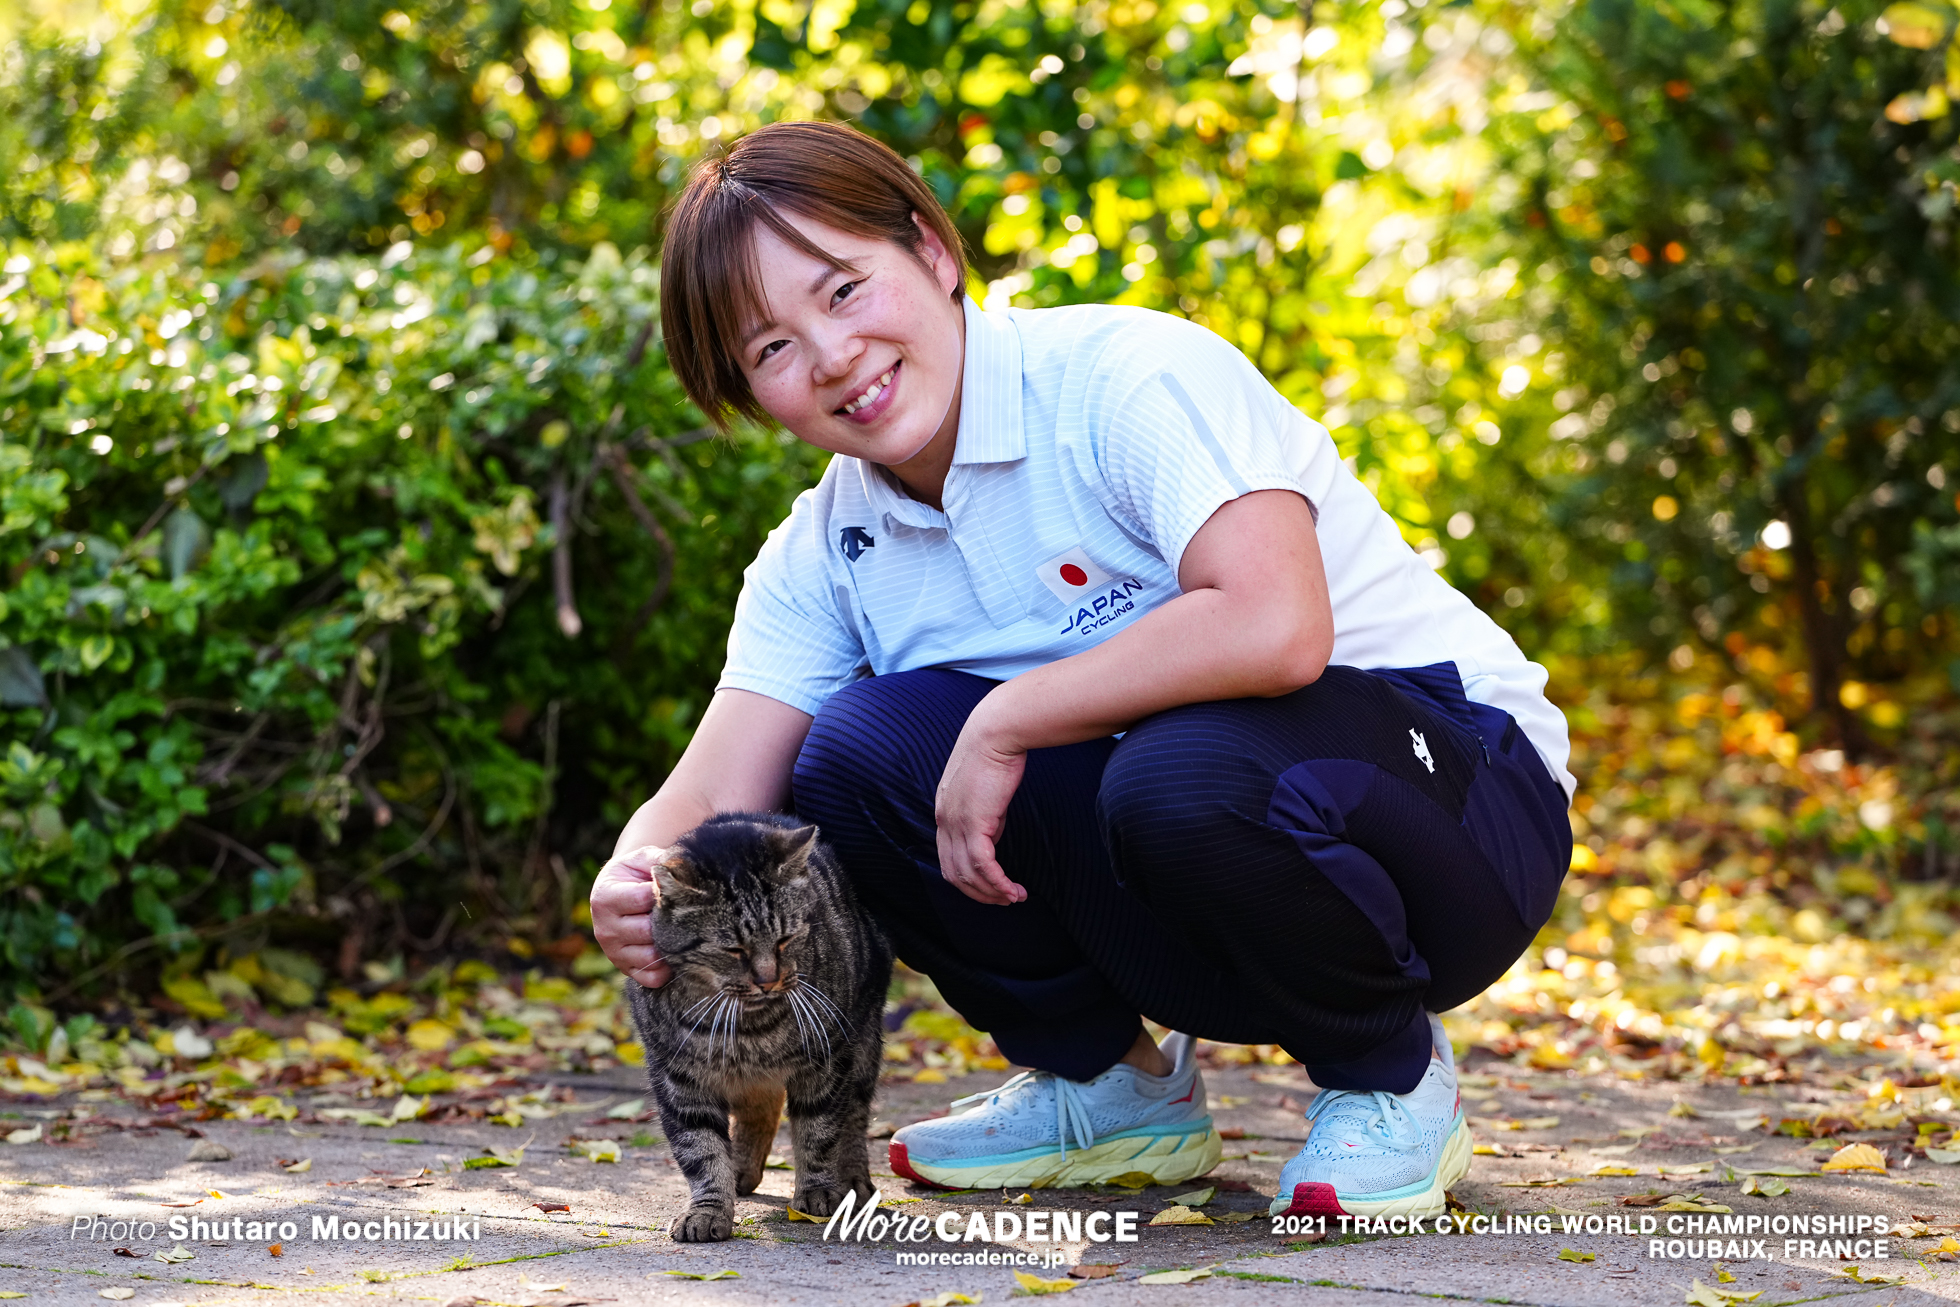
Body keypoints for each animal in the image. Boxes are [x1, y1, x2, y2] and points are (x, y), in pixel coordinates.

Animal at [627, 811, 889, 1246]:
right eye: (733, 949)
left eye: (785, 938)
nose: (768, 980)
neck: (751, 1027)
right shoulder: (678, 1077)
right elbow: (700, 1149)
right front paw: (708, 1208)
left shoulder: (827, 1058)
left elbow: (819, 1131)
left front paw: (818, 1191)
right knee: (760, 1107)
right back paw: (740, 1168)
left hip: (863, 1043)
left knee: (852, 1115)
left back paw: (852, 1180)